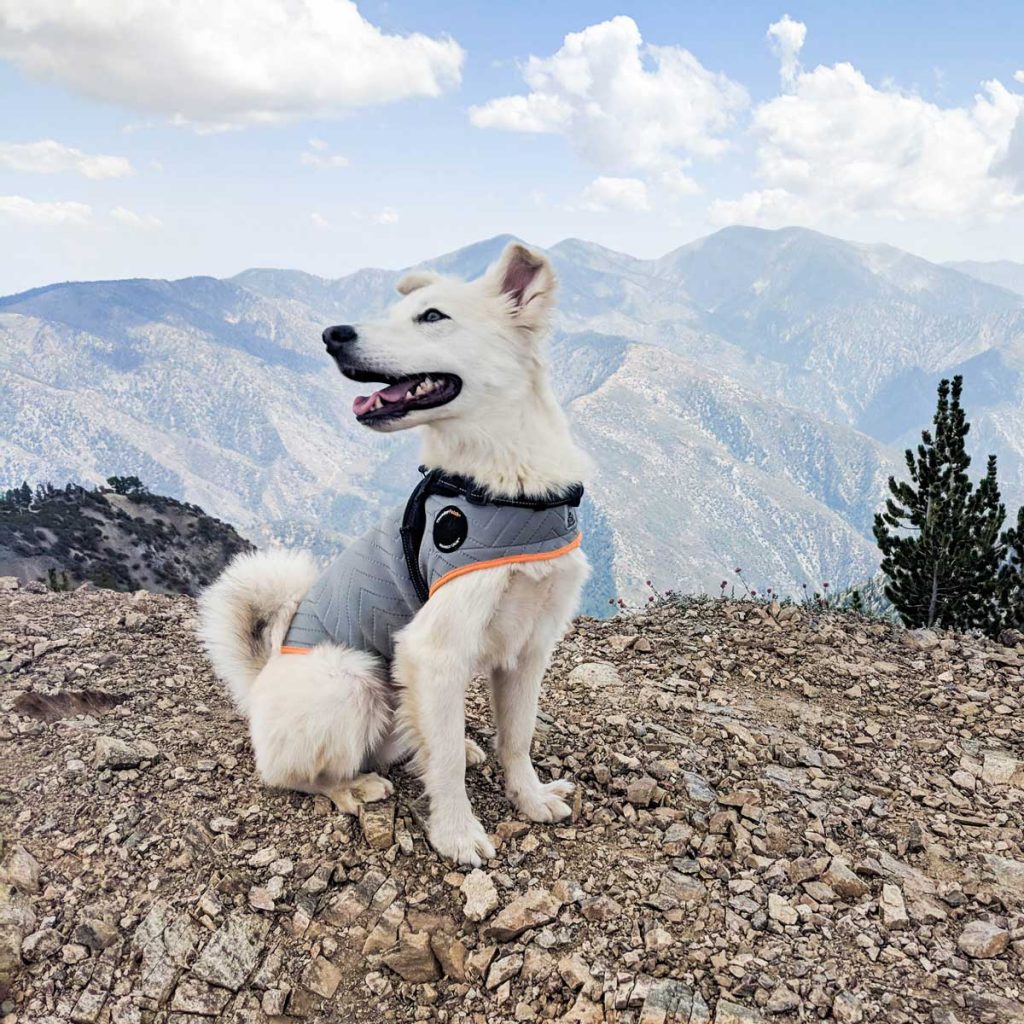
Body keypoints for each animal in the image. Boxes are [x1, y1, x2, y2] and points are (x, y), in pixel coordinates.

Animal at [195, 245, 589, 864]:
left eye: (431, 316)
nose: (332, 335)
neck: (505, 484)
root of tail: (256, 691)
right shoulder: (433, 650)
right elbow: (445, 763)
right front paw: (456, 833)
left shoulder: (530, 648)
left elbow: (517, 736)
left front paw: (528, 797)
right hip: (352, 677)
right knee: (298, 775)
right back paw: (355, 788)